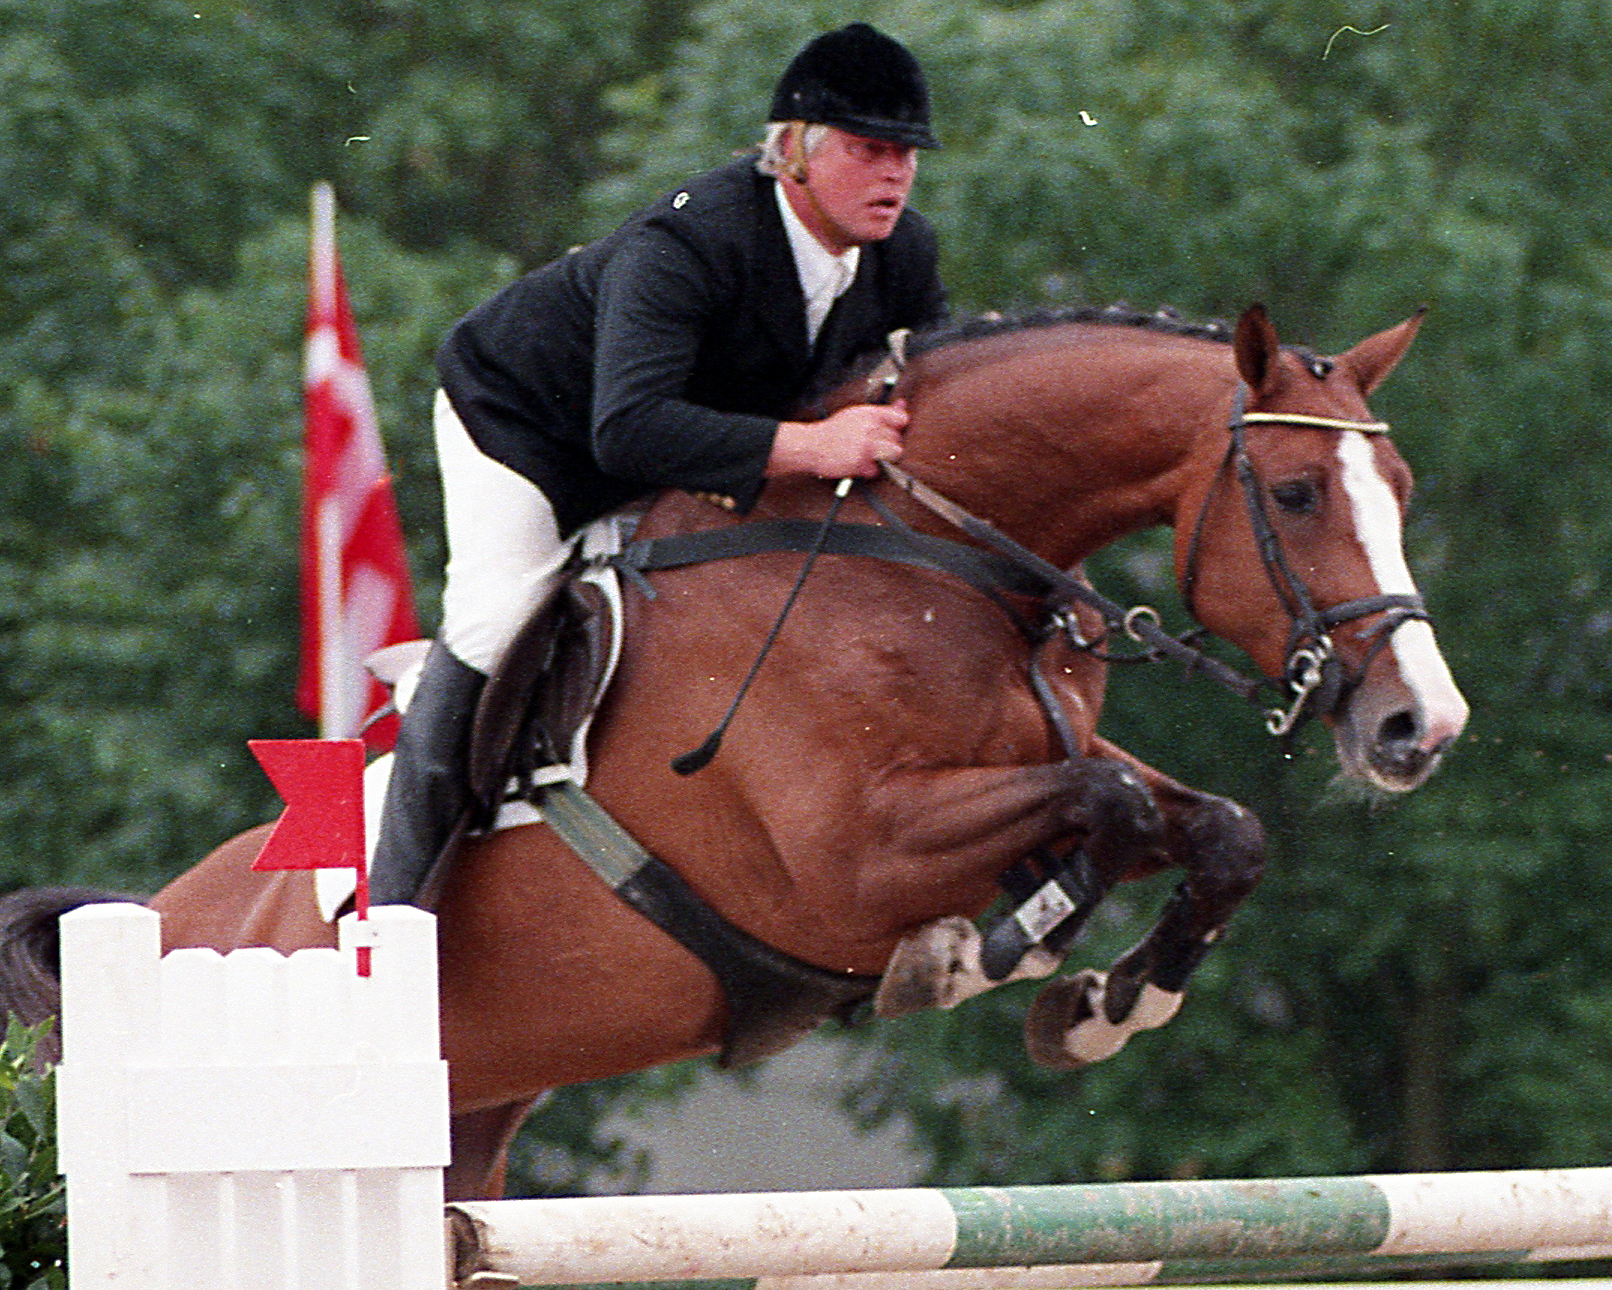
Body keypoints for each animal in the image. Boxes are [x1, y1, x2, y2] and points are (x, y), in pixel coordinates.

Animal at [0, 303, 1470, 1199]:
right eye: (1295, 493)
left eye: (1402, 493)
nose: (1420, 727)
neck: (929, 558)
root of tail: (153, 918)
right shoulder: (846, 858)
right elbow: (1099, 807)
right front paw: (980, 957)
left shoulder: (1034, 767)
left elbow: (1212, 826)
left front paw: (1104, 1004)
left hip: (467, 1133)